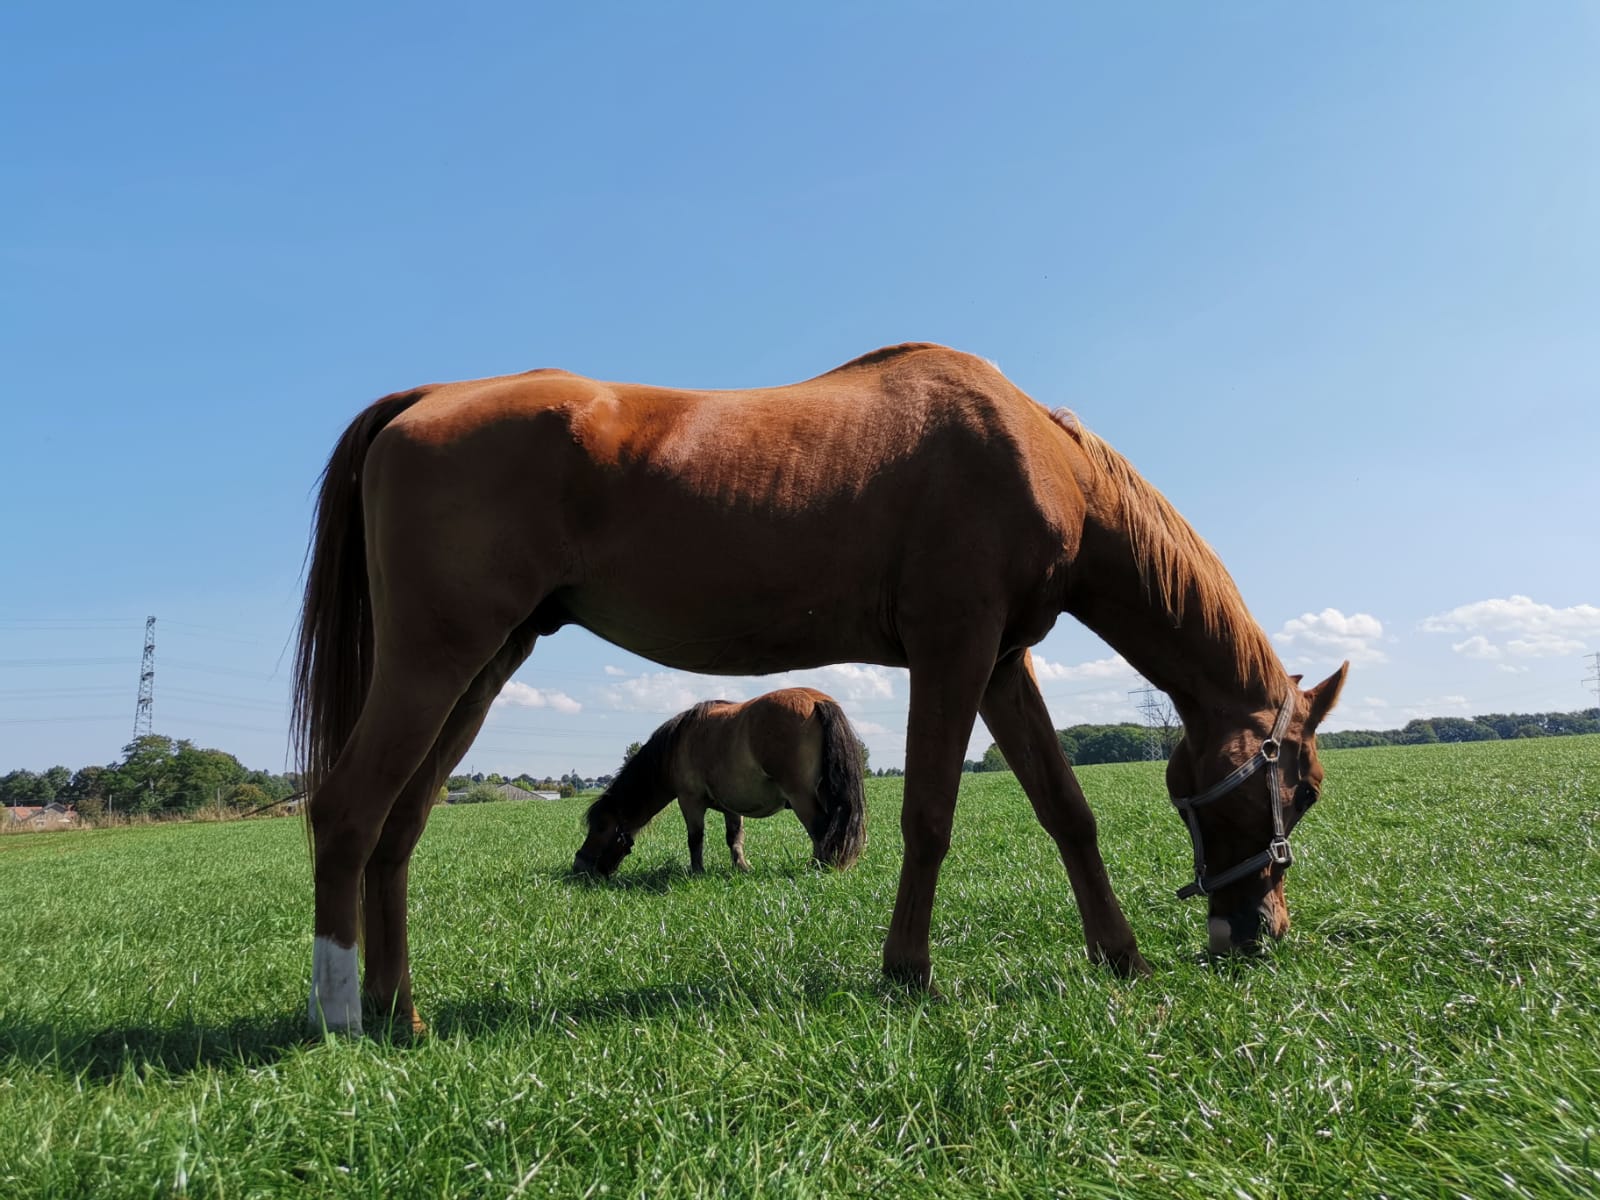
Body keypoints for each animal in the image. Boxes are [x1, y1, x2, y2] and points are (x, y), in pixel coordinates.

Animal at [572, 688, 867, 877]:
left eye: (601, 827)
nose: (579, 866)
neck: (676, 745)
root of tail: (815, 700)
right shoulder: (732, 807)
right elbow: (734, 839)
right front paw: (742, 869)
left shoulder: (690, 801)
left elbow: (695, 838)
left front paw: (697, 872)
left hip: (801, 796)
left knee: (821, 828)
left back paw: (818, 868)